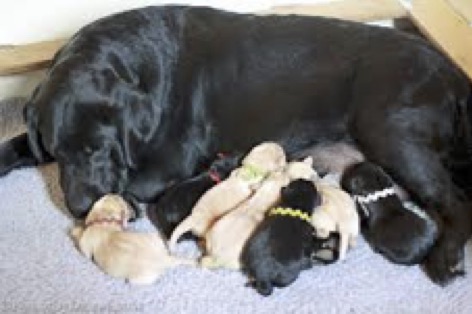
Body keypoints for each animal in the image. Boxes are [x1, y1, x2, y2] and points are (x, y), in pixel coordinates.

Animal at [0, 5, 472, 284]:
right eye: (57, 151)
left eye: (97, 149)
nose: (79, 207)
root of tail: (451, 71)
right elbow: (20, 143)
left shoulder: (171, 160)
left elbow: (136, 186)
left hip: (389, 128)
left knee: (457, 199)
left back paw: (445, 259)